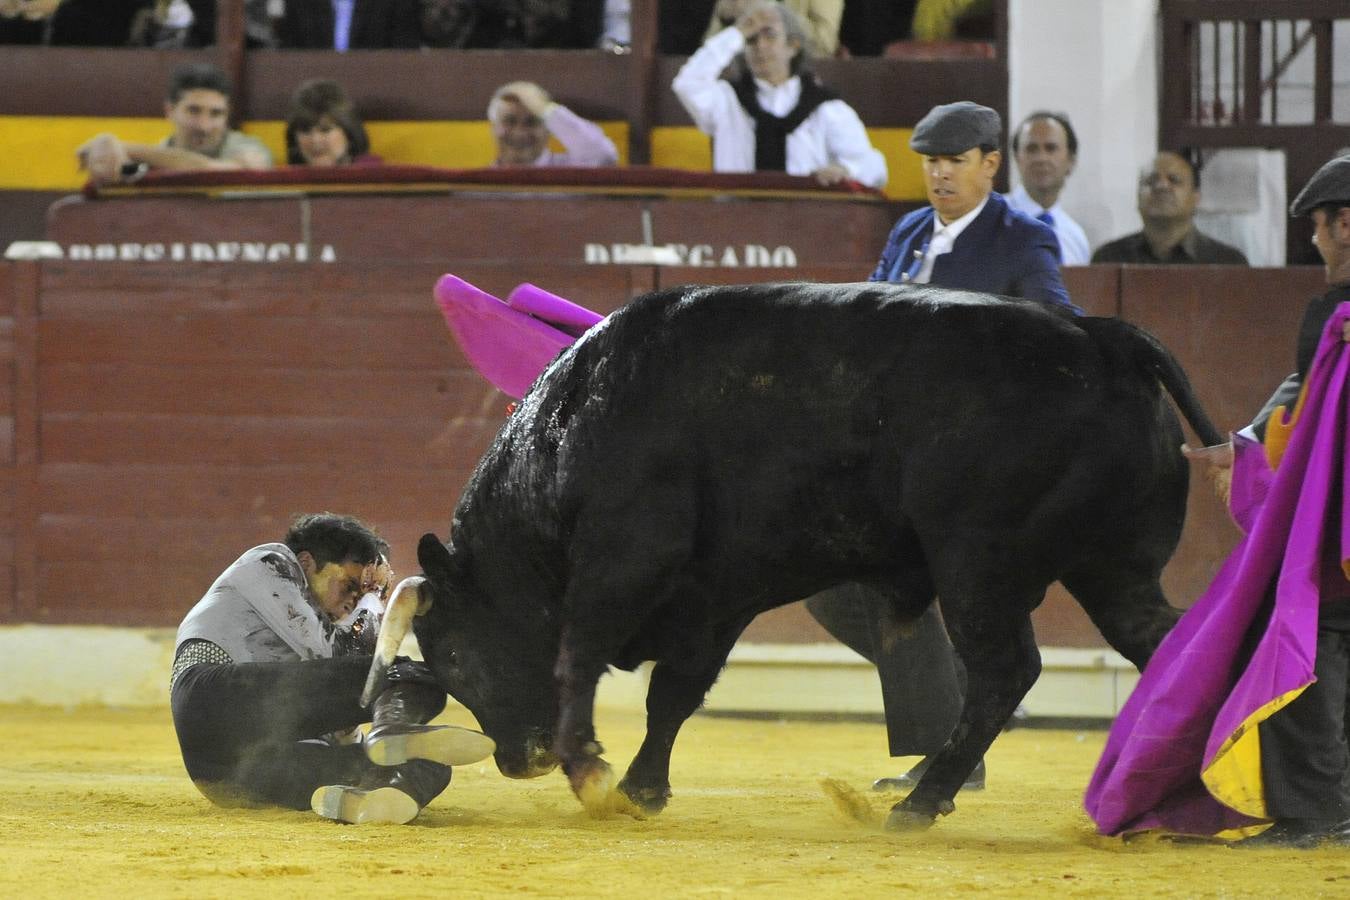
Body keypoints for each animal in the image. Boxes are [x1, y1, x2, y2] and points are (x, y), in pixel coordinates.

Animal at [405, 282, 1220, 831]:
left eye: (455, 656)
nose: (519, 760)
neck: (569, 432)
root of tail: (1102, 337)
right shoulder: (714, 596)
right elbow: (675, 693)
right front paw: (641, 789)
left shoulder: (622, 564)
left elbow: (578, 658)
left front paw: (592, 774)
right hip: (1114, 569)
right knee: (1163, 640)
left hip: (976, 565)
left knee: (1004, 671)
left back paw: (921, 801)